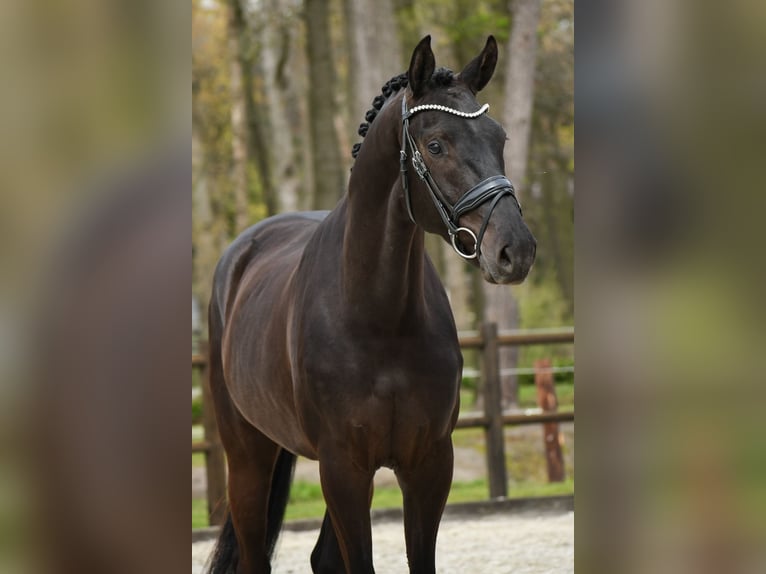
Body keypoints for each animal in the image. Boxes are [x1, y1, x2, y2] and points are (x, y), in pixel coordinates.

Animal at [206, 35, 536, 574]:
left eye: (500, 138)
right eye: (436, 144)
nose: (516, 250)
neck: (380, 320)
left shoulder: (428, 465)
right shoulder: (344, 467)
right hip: (248, 457)